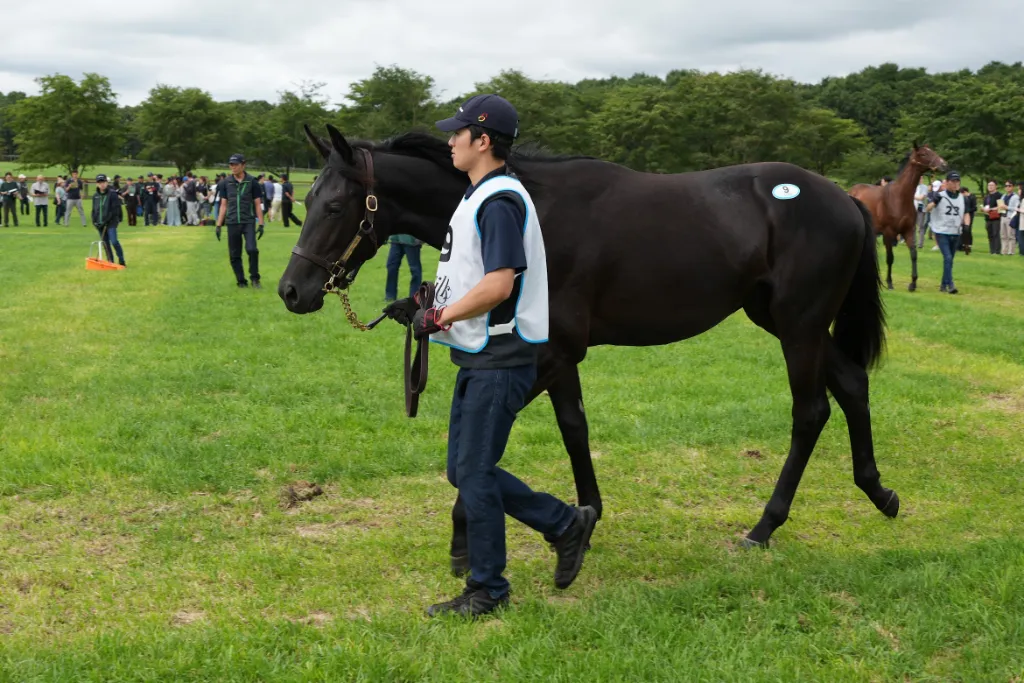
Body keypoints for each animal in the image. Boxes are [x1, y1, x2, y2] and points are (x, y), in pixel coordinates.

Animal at [279, 124, 897, 567]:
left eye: (334, 206)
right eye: (306, 200)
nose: (292, 290)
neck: (533, 212)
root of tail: (845, 199)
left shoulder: (551, 353)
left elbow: (485, 450)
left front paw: (466, 531)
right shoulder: (556, 355)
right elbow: (574, 427)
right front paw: (587, 517)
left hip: (800, 326)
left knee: (811, 411)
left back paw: (764, 526)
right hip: (786, 321)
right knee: (852, 384)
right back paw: (878, 491)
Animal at [848, 143, 947, 291]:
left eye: (932, 151)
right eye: (923, 154)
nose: (944, 164)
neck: (899, 197)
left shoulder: (908, 231)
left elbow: (913, 254)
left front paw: (913, 283)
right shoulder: (889, 233)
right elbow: (890, 258)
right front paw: (889, 282)